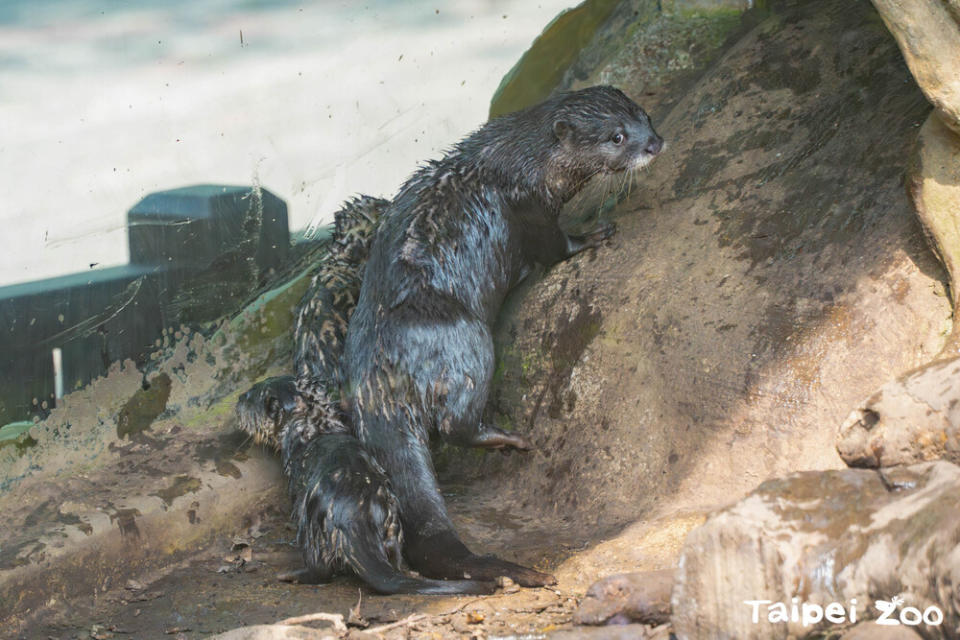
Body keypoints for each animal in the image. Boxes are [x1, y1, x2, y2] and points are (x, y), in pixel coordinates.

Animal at [238, 376, 496, 596]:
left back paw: (292, 575)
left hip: (311, 519)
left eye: (251, 395)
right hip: (392, 518)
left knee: (320, 569)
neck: (314, 429)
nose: (239, 398)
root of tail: (351, 518)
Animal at [344, 85, 668, 584]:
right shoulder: (529, 205)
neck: (525, 160)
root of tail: (379, 379)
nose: (654, 144)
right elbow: (554, 247)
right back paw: (511, 439)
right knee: (455, 424)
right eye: (616, 137)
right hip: (467, 341)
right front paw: (593, 234)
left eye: (644, 116)